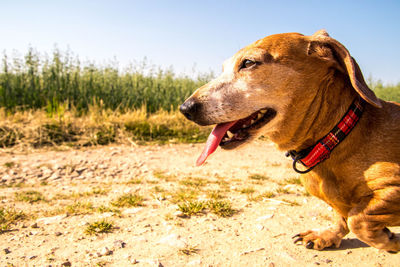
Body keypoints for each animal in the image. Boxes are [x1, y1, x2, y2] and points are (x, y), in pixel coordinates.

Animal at [180, 30, 400, 252]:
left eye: (248, 63)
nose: (185, 108)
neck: (337, 138)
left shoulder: (392, 190)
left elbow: (357, 219)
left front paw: (390, 240)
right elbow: (343, 216)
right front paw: (326, 235)